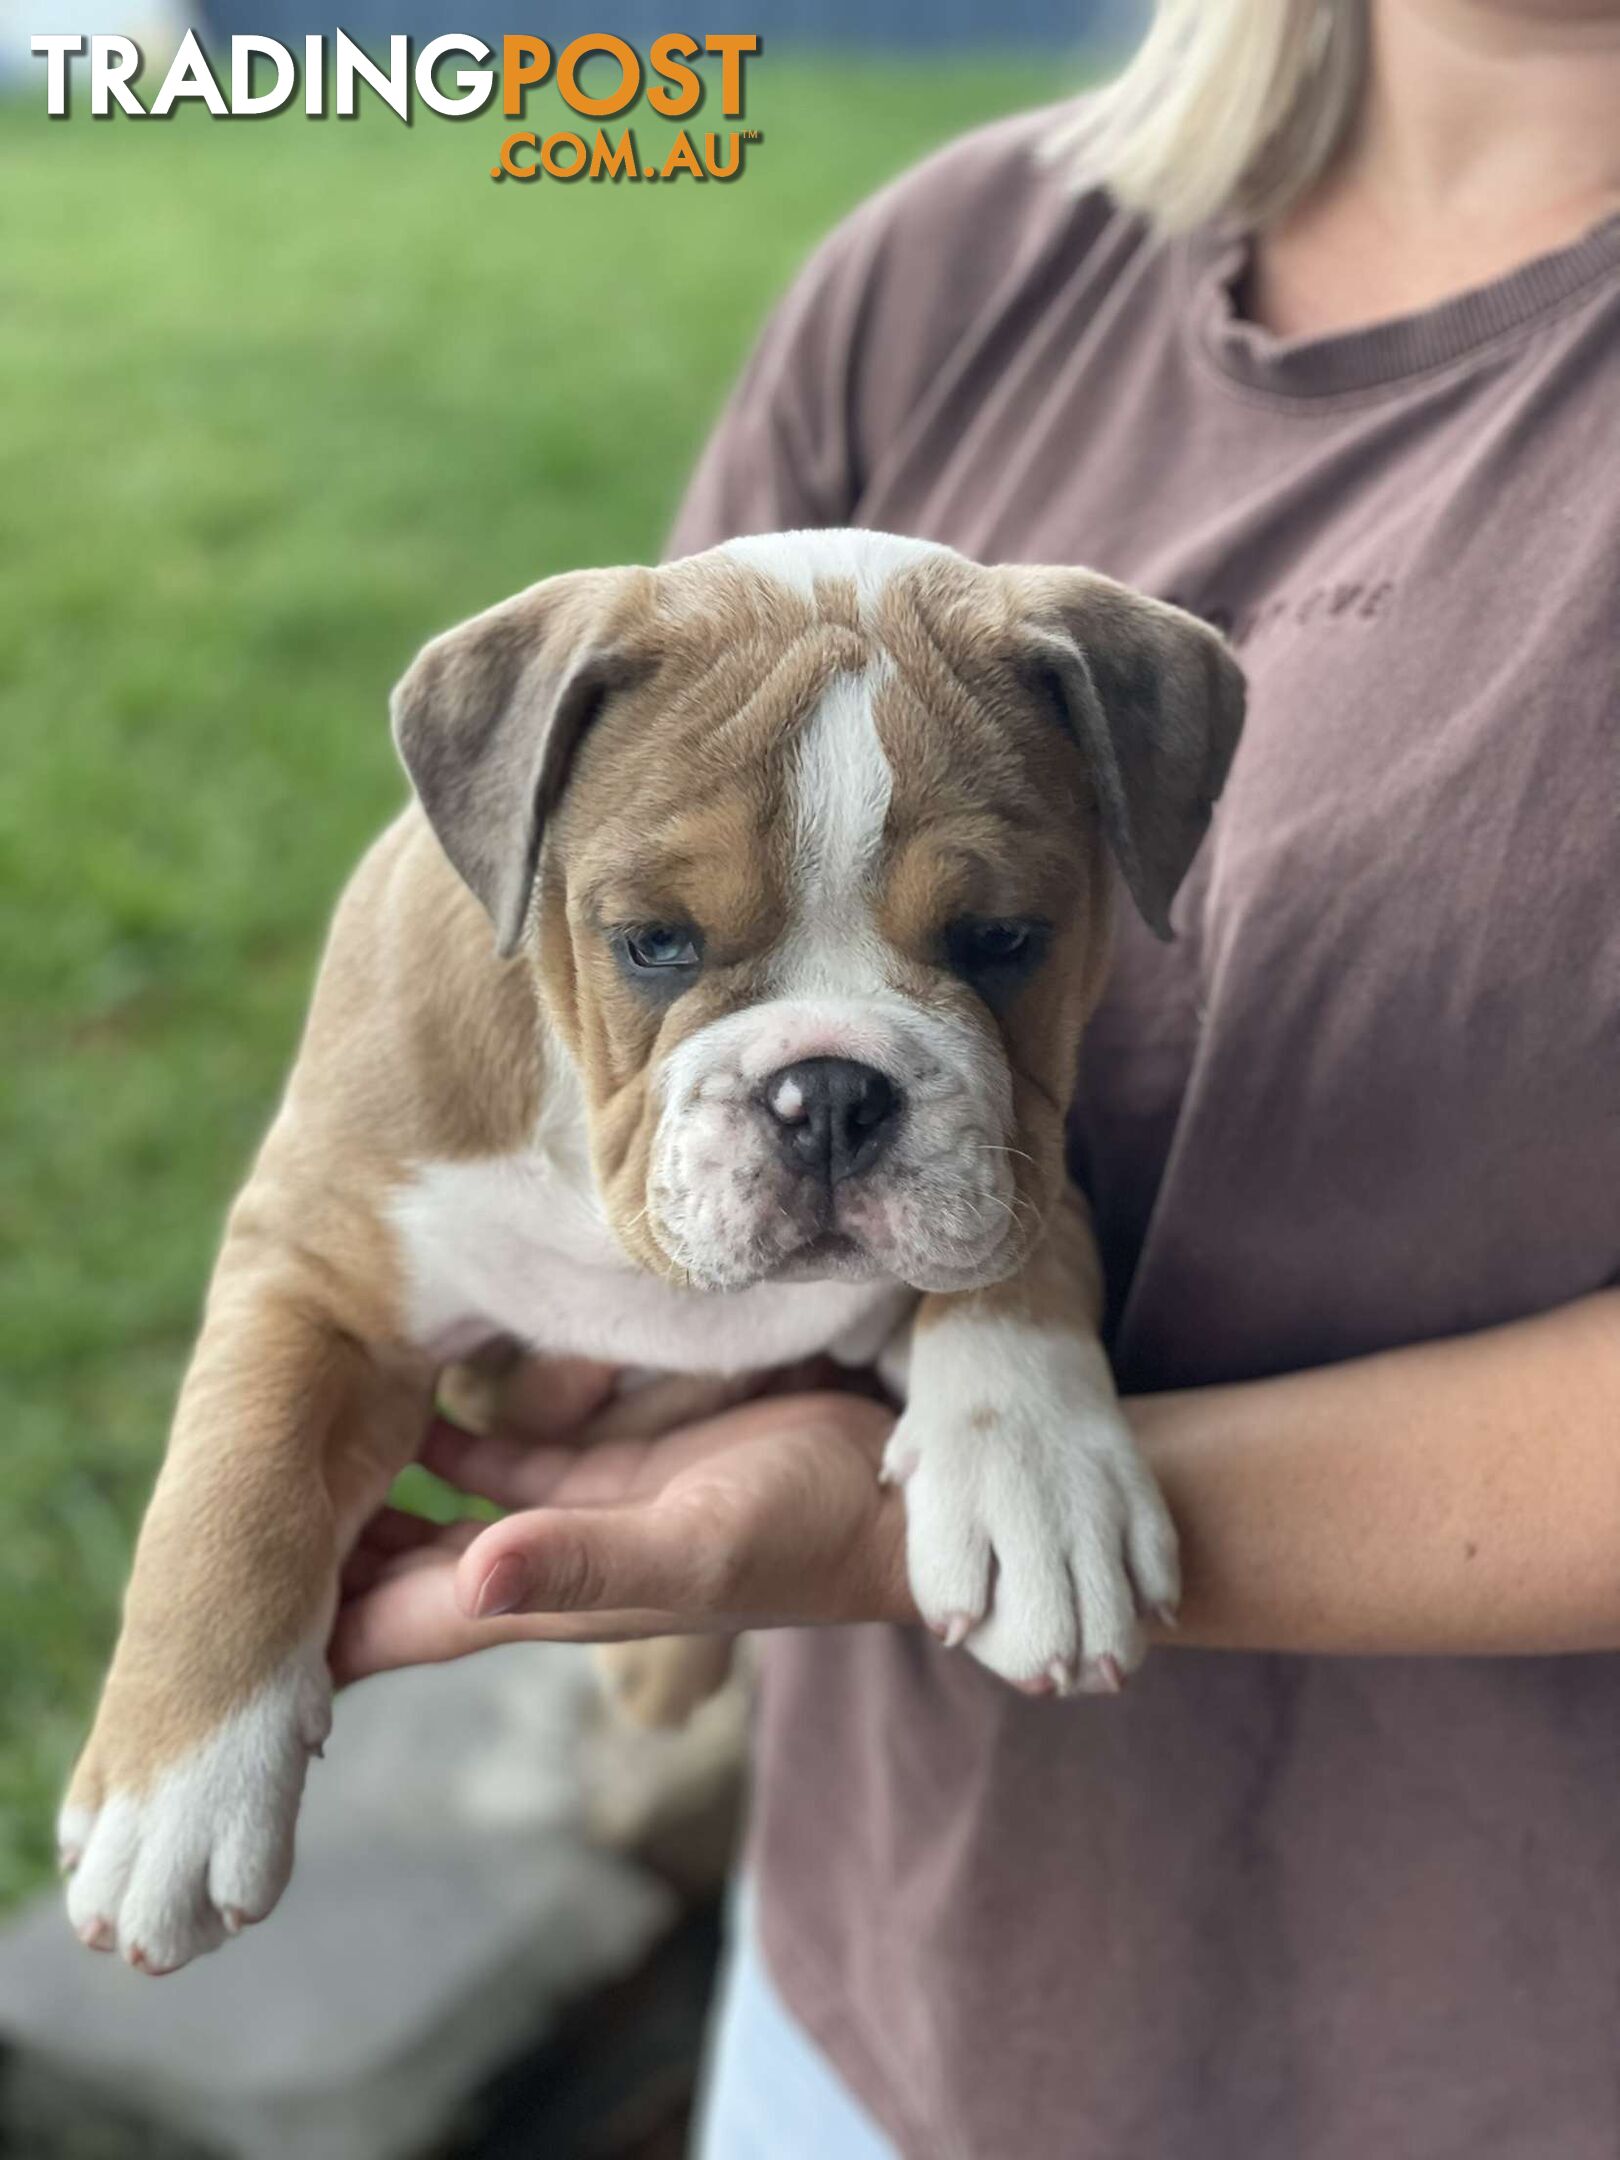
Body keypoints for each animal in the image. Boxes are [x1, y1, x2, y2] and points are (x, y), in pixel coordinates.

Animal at [50, 527, 1244, 1978]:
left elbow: (1018, 1270)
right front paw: (173, 1791)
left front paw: (1038, 1487)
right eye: (653, 944)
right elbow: (240, 1477)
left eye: (1005, 941)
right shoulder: (316, 1256)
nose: (829, 1094)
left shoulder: (1020, 1152)